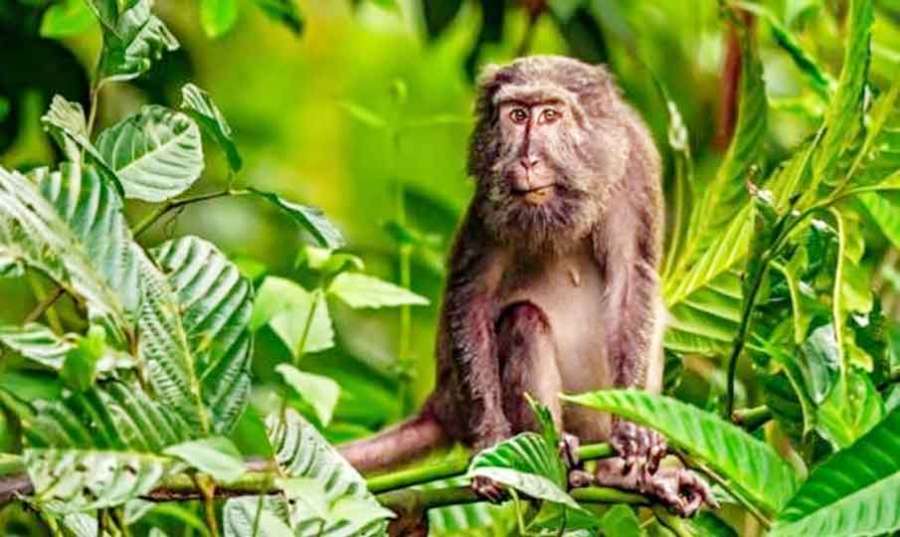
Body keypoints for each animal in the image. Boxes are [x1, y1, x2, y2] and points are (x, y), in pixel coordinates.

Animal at [341, 55, 713, 518]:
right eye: (517, 115)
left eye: (550, 115)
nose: (528, 160)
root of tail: (443, 398)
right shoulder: (490, 194)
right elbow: (473, 295)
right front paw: (491, 442)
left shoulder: (635, 165)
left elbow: (632, 282)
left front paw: (633, 428)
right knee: (523, 320)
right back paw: (554, 455)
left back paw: (618, 475)